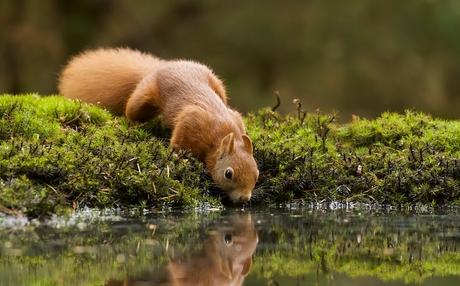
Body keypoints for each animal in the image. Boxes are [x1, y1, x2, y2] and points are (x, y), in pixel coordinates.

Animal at [58, 48, 258, 202]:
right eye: (228, 174)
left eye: (257, 174)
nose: (244, 198)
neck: (223, 132)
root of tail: (158, 67)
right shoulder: (192, 119)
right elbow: (179, 137)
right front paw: (179, 156)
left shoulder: (235, 117)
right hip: (142, 97)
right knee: (132, 111)